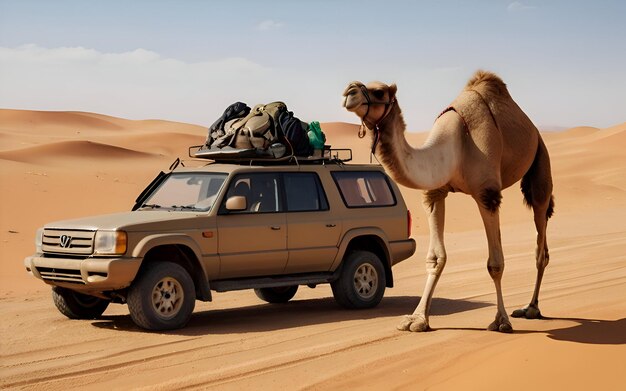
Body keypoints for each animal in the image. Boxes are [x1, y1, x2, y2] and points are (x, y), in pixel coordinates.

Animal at [344, 71, 552, 334]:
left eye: (379, 92)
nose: (349, 92)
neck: (457, 145)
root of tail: (534, 128)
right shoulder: (435, 192)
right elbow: (435, 258)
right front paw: (417, 319)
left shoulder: (487, 194)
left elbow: (495, 263)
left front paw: (501, 320)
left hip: (541, 159)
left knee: (540, 239)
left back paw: (531, 308)